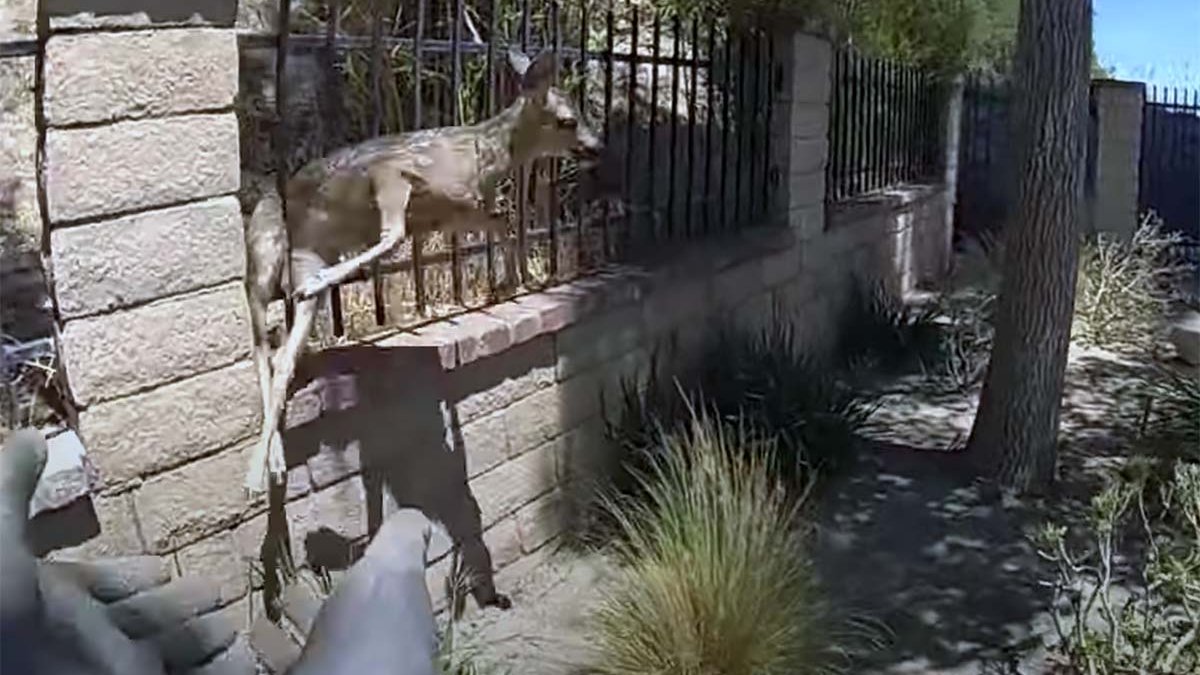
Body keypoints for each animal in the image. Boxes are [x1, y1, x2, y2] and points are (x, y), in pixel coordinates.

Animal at [242, 48, 603, 494]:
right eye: (568, 120)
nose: (598, 147)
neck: (488, 154)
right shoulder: (393, 172)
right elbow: (396, 232)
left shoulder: (460, 211)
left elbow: (503, 222)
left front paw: (512, 281)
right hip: (263, 250)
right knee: (263, 339)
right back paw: (256, 474)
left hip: (299, 262)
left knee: (278, 359)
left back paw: (272, 464)